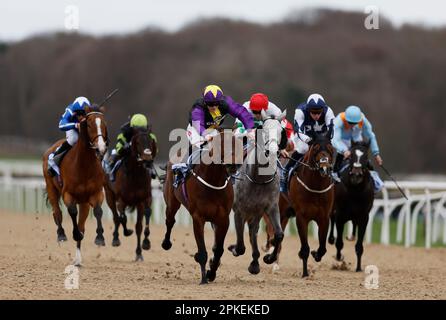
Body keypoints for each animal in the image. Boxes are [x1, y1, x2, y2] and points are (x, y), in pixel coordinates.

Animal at [43, 106, 109, 266]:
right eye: (89, 124)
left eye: (104, 124)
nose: (101, 147)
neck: (83, 165)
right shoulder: (68, 194)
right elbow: (72, 212)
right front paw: (74, 234)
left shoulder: (96, 193)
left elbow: (98, 212)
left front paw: (100, 238)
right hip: (51, 187)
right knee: (57, 213)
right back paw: (61, 234)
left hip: (84, 203)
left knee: (81, 224)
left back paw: (78, 259)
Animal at [103, 129, 158, 262]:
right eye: (137, 142)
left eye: (151, 141)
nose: (147, 159)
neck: (135, 175)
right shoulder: (121, 200)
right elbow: (122, 218)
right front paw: (127, 231)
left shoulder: (142, 200)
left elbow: (140, 225)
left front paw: (142, 249)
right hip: (109, 196)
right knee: (116, 217)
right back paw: (116, 239)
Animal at [162, 129, 242, 284]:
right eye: (221, 144)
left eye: (238, 144)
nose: (233, 164)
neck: (214, 182)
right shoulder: (198, 218)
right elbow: (202, 251)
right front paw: (204, 278)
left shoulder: (223, 219)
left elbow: (218, 249)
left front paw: (211, 272)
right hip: (172, 201)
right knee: (170, 220)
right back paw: (166, 243)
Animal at [228, 109, 288, 274]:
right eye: (263, 130)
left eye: (281, 131)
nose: (272, 151)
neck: (259, 179)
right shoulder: (239, 210)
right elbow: (240, 246)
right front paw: (234, 248)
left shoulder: (271, 206)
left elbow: (279, 234)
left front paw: (269, 258)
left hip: (257, 212)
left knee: (253, 232)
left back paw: (255, 262)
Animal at [328, 141, 372, 272]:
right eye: (351, 155)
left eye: (366, 157)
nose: (356, 175)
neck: (355, 190)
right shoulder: (341, 215)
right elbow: (339, 243)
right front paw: (338, 257)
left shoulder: (364, 217)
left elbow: (359, 245)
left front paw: (358, 268)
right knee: (331, 219)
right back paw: (331, 239)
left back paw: (351, 236)